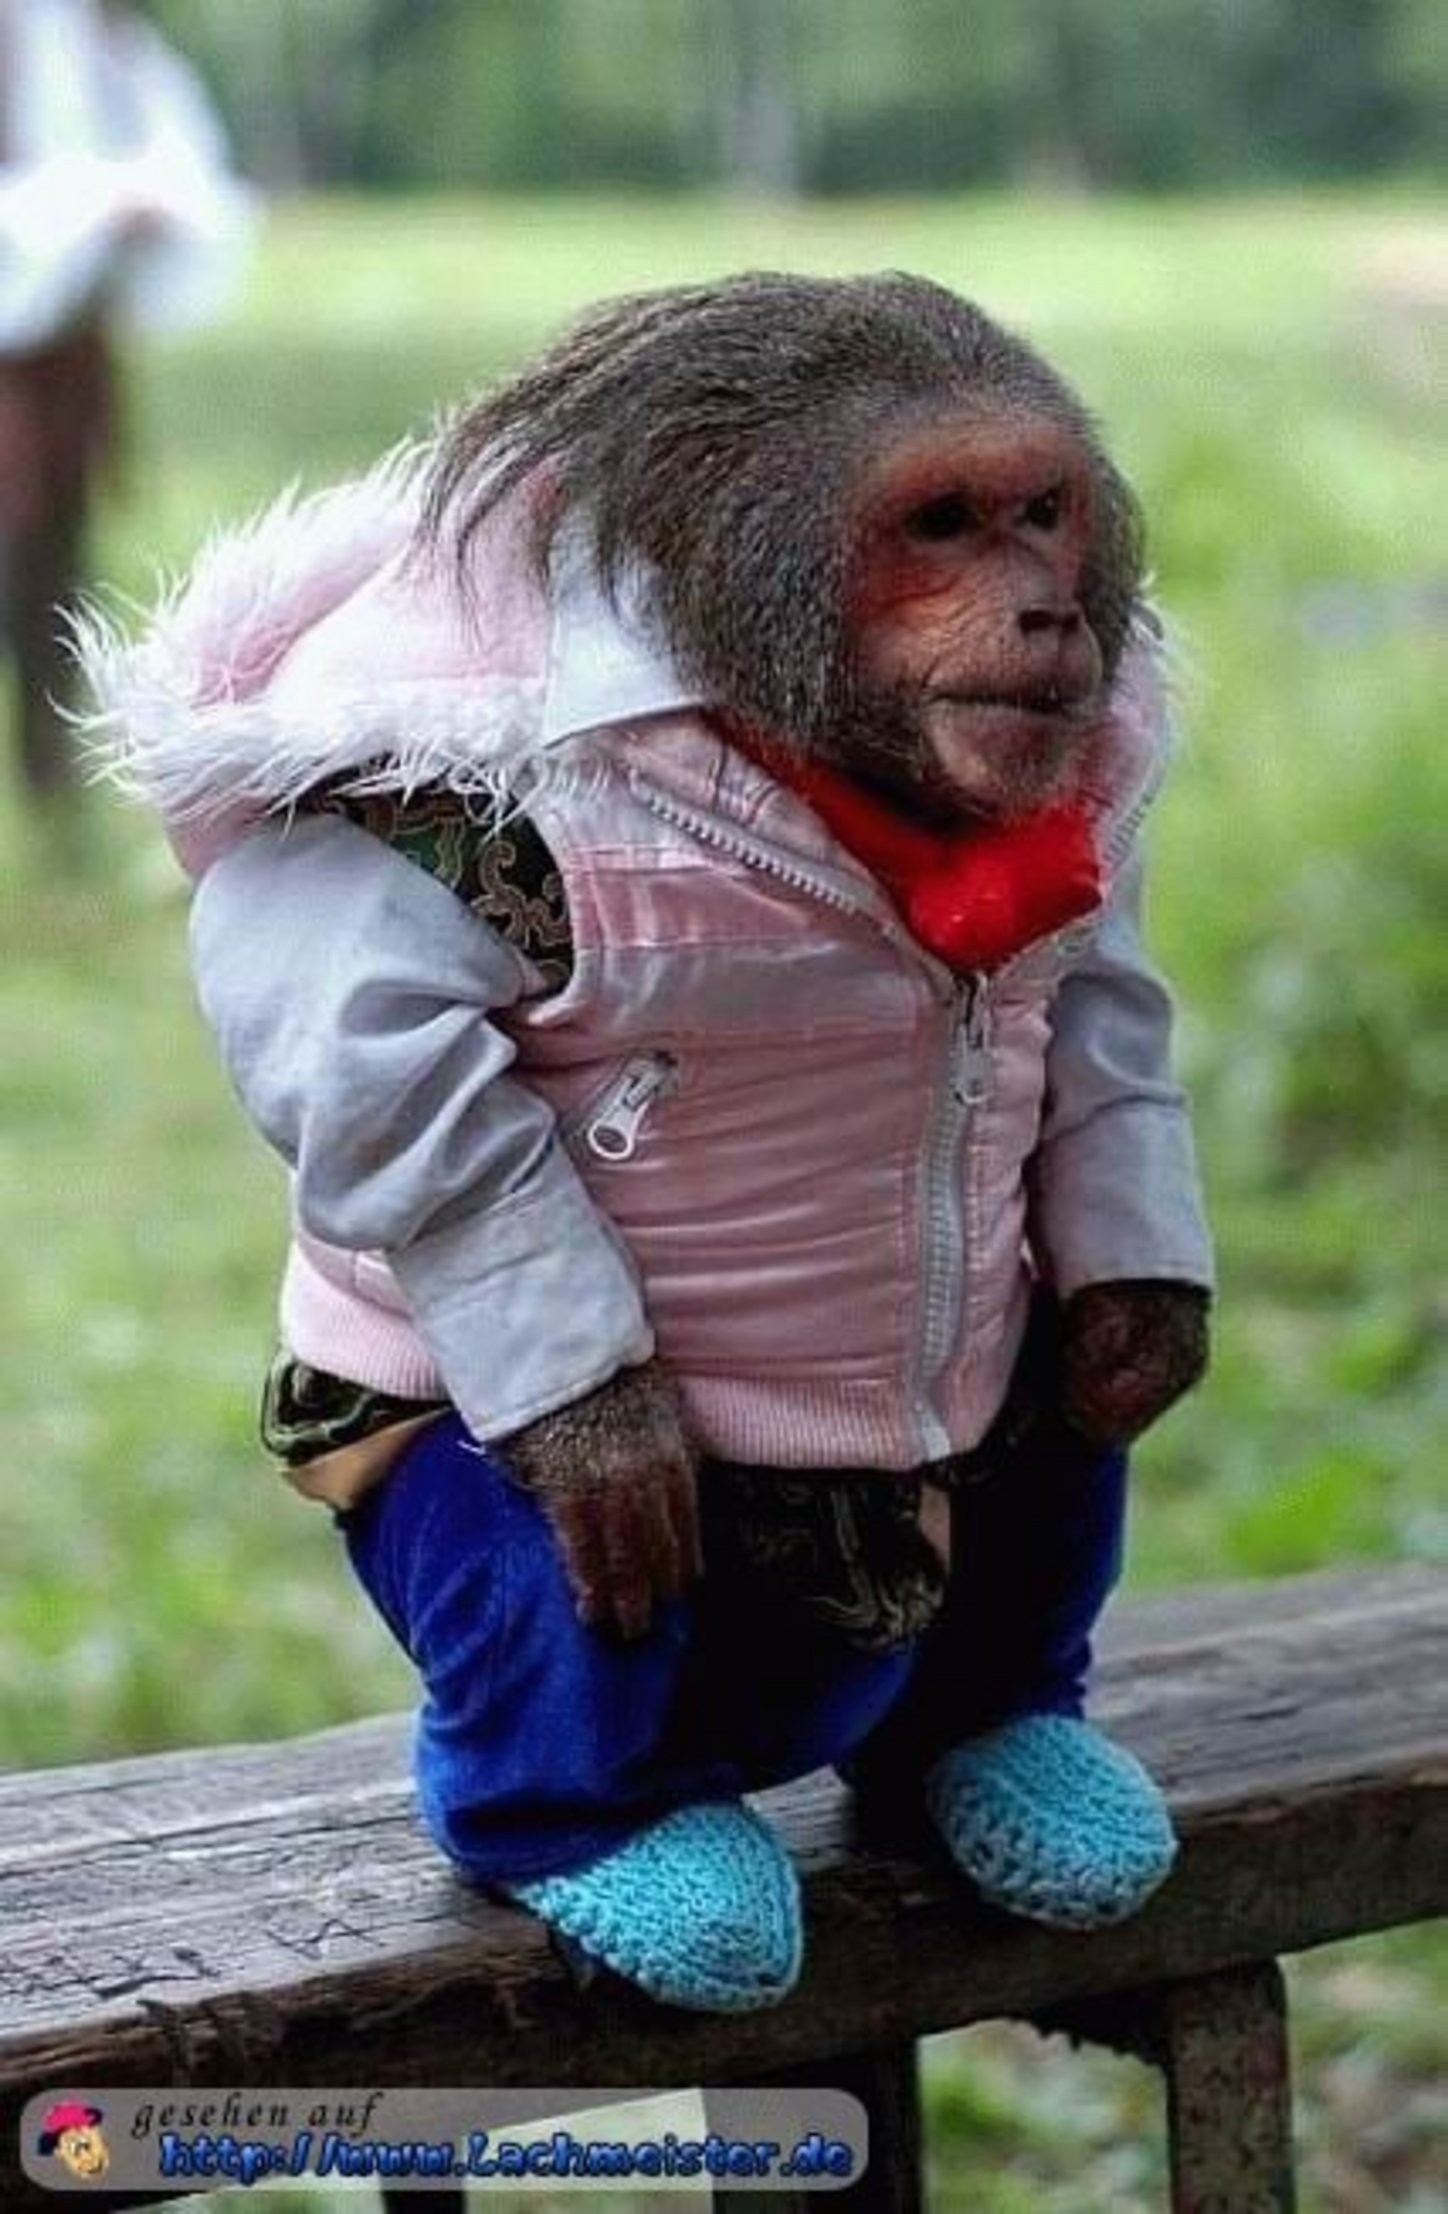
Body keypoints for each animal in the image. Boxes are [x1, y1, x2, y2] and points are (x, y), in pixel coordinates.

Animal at [88, 271, 1213, 2013]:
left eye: (1038, 513)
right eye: (942, 524)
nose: (1045, 610)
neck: (826, 777)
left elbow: (1100, 1010)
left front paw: (1145, 1313)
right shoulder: (451, 803)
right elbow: (373, 1030)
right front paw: (603, 1426)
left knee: (1039, 1438)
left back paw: (1001, 1740)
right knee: (551, 1551)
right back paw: (623, 1848)